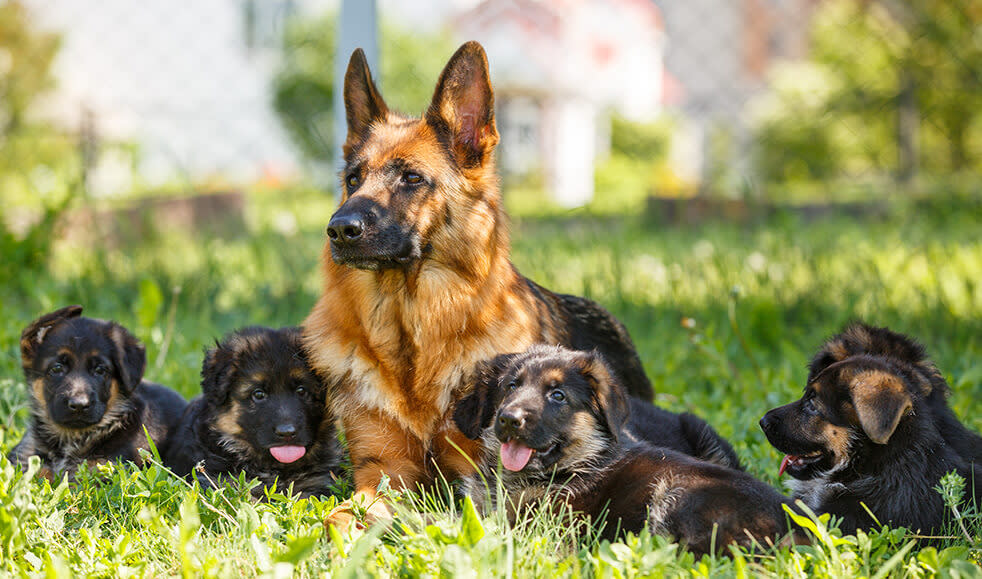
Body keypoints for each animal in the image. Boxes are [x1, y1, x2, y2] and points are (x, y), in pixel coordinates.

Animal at [8, 306, 188, 478]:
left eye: (100, 370)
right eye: (57, 368)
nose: (79, 405)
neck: (71, 439)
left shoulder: (104, 468)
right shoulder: (25, 457)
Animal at [304, 43, 656, 528]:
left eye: (411, 178)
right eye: (353, 179)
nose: (339, 229)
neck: (414, 332)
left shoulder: (481, 473)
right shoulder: (384, 471)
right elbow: (340, 516)